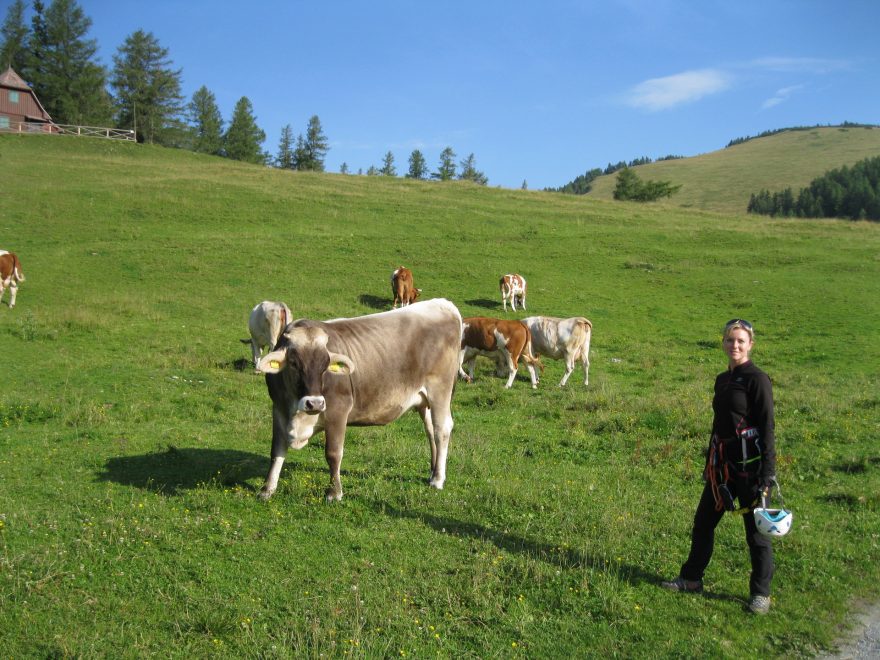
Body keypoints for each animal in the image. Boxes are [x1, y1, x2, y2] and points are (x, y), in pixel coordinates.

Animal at [253, 298, 460, 500]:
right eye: (294, 363)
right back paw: (432, 472)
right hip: (423, 400)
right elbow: (276, 449)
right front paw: (267, 489)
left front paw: (334, 492)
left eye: (325, 365)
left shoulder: (338, 409)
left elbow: (333, 453)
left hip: (440, 389)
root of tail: (443, 304)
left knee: (441, 429)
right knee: (430, 430)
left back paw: (438, 479)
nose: (315, 403)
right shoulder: (278, 408)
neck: (298, 413)